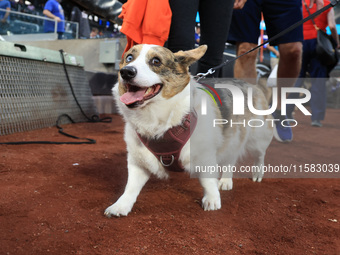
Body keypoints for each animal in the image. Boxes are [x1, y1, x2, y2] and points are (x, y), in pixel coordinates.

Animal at [104, 43, 274, 217]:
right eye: (129, 58)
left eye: (156, 61)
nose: (126, 72)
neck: (157, 119)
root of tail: (251, 85)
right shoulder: (138, 160)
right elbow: (130, 187)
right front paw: (120, 206)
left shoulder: (205, 156)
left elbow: (207, 182)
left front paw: (212, 200)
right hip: (233, 138)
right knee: (230, 159)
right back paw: (226, 180)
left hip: (258, 138)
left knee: (259, 155)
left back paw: (257, 173)